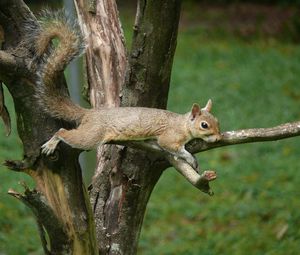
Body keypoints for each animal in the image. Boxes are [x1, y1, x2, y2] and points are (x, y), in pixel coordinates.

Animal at [35, 10, 223, 169]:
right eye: (204, 125)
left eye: (217, 121)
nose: (219, 137)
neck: (183, 124)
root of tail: (90, 114)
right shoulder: (169, 136)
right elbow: (171, 147)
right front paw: (190, 157)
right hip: (92, 135)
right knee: (65, 133)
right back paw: (52, 142)